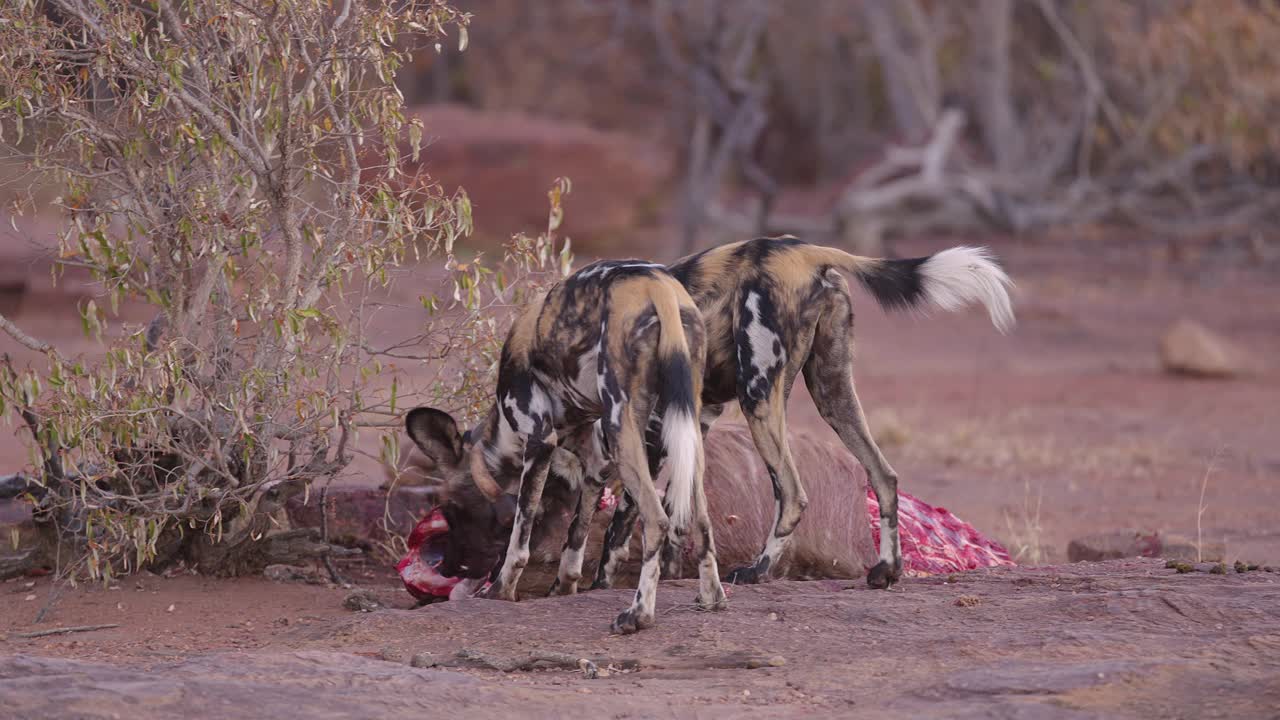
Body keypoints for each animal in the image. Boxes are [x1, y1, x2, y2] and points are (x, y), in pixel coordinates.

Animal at [401, 257, 721, 627]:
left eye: (452, 509)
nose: (448, 565)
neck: (502, 437)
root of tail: (656, 283)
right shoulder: (595, 462)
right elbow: (575, 539)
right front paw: (563, 590)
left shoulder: (539, 440)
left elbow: (519, 543)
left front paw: (501, 592)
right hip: (686, 422)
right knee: (701, 519)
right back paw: (711, 599)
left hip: (623, 426)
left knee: (657, 521)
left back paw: (638, 615)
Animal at [568, 235, 1008, 589]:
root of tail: (802, 249)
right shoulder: (693, 424)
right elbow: (679, 512)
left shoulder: (652, 434)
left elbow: (620, 525)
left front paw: (598, 584)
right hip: (832, 392)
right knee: (884, 475)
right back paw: (886, 571)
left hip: (759, 400)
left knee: (793, 495)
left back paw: (756, 571)